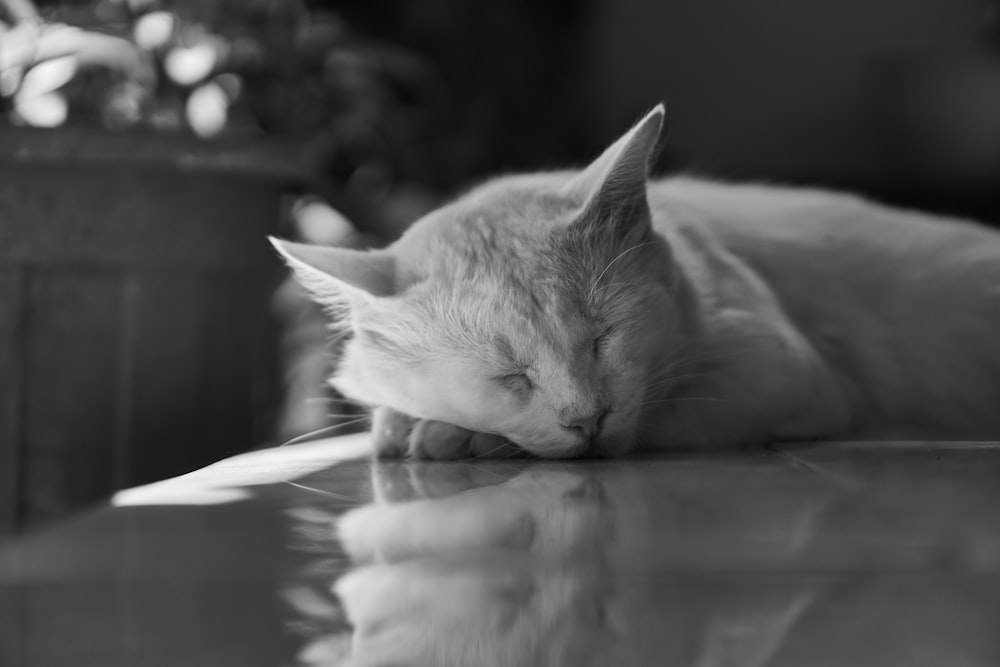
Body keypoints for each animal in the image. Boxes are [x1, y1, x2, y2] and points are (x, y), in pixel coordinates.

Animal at [272, 104, 1000, 460]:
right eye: (510, 376)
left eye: (603, 337)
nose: (586, 418)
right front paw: (403, 425)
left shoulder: (784, 373)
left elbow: (661, 415)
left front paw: (453, 436)